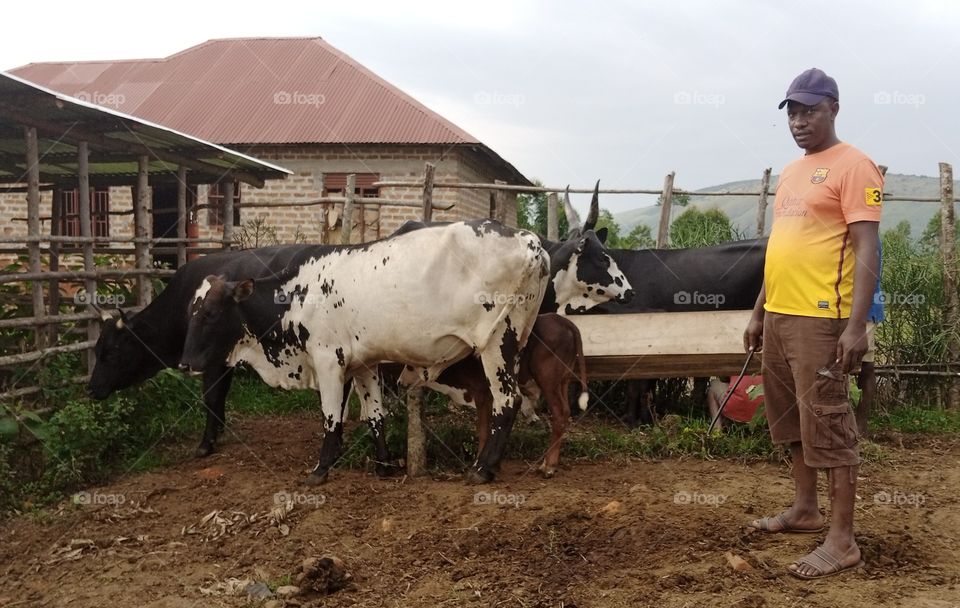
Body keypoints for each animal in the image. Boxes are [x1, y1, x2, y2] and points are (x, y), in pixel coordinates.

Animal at [178, 220, 549, 485]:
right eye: (191, 312)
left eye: (211, 313)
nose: (184, 364)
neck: (297, 295)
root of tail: (530, 242)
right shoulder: (363, 364)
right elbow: (374, 416)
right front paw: (384, 464)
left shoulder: (328, 361)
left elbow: (331, 416)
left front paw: (320, 469)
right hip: (514, 341)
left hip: (497, 341)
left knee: (508, 400)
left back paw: (483, 469)